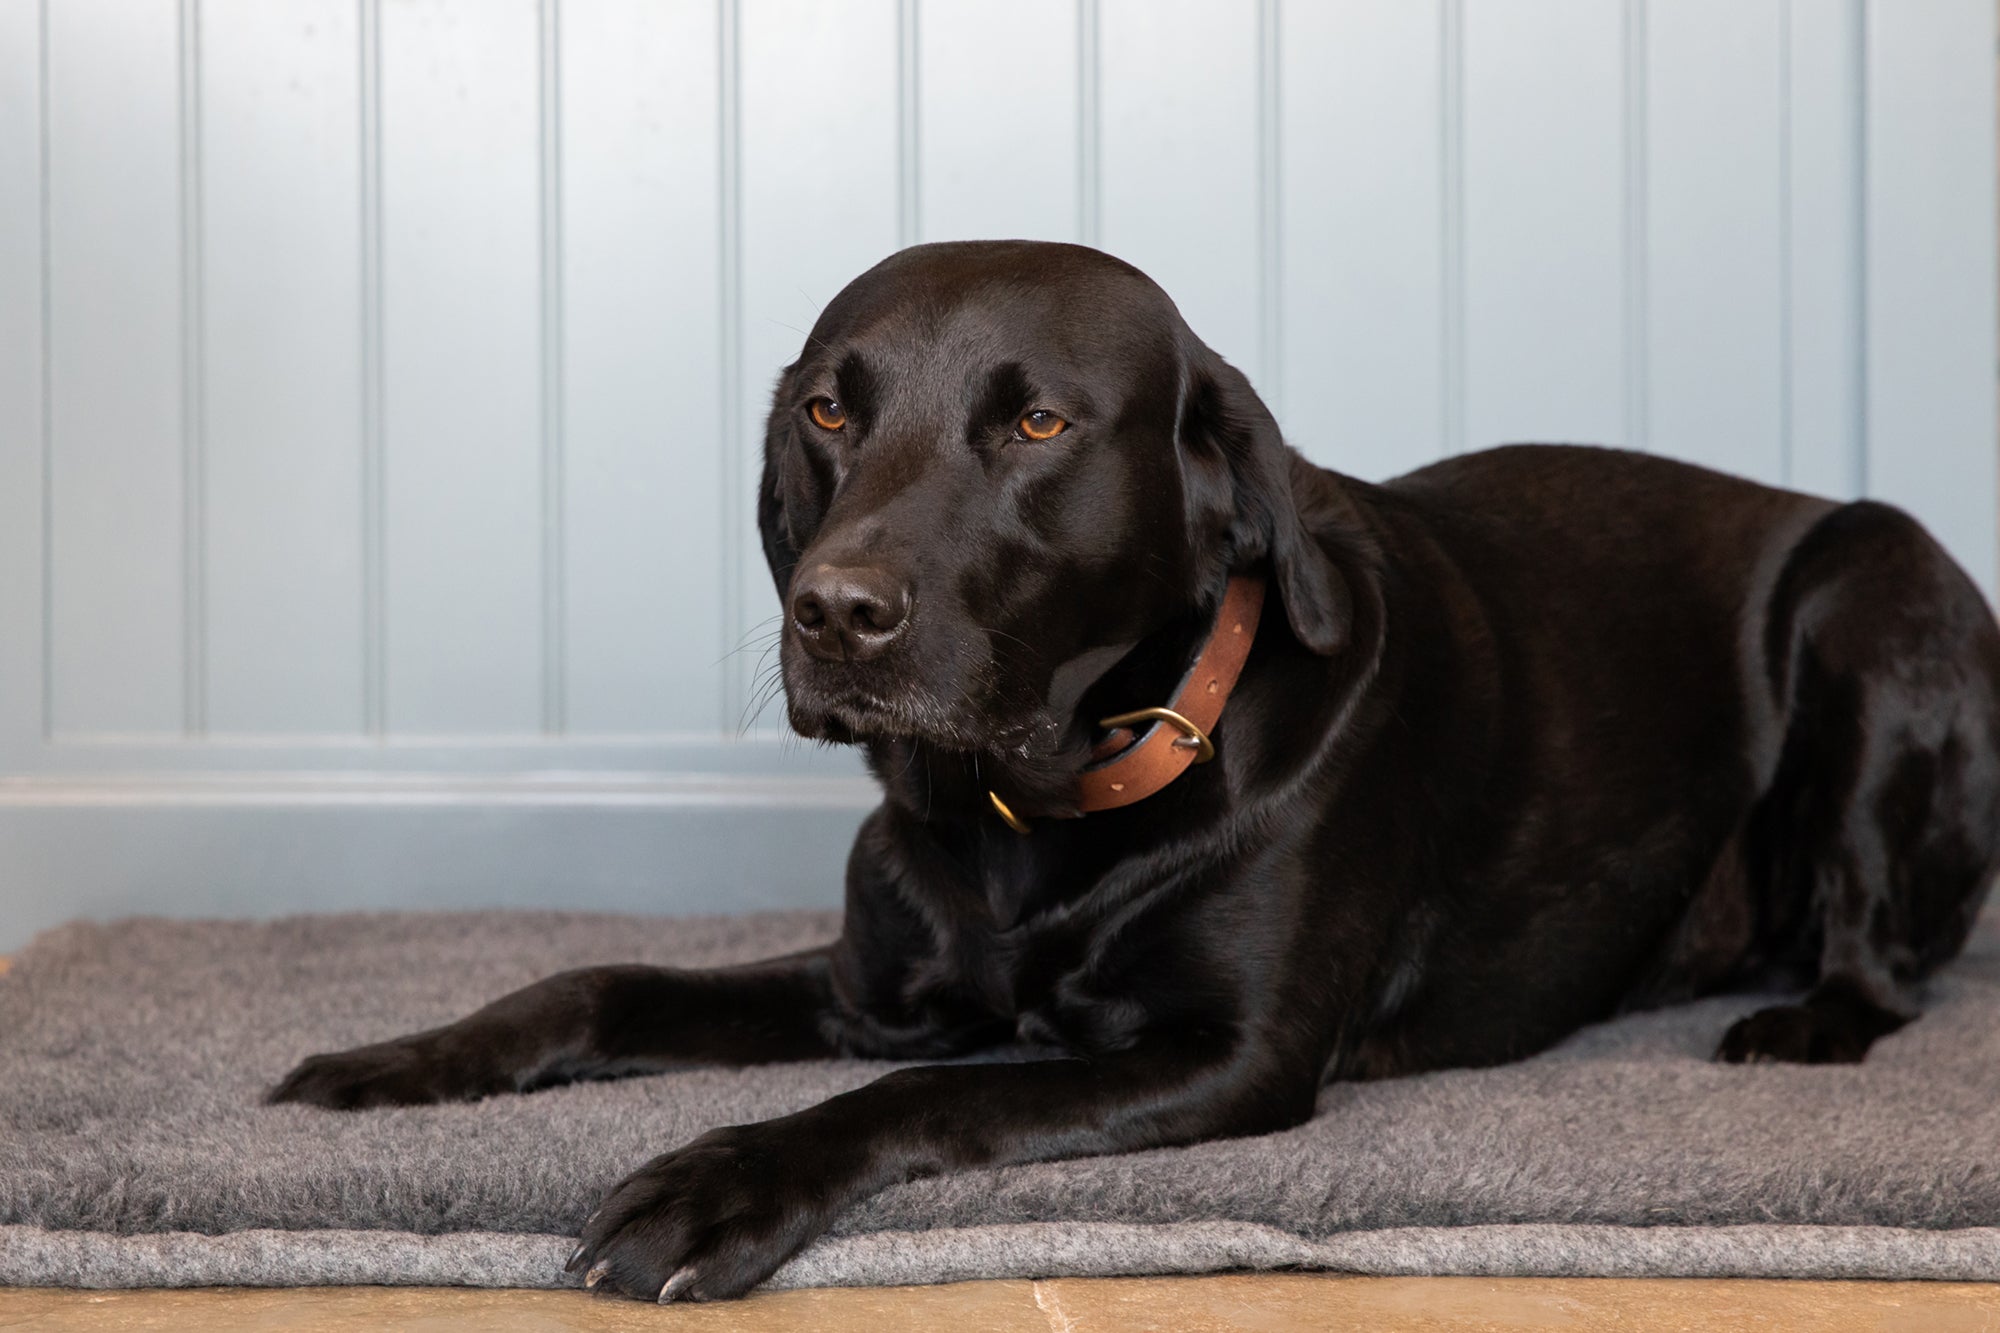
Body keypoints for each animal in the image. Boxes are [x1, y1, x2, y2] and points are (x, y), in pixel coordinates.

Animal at [270, 239, 2000, 1296]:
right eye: (829, 407)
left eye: (1036, 424)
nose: (833, 611)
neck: (1031, 812)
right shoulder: (872, 984)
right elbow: (595, 982)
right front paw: (399, 1057)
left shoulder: (1231, 1057)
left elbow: (916, 1091)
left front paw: (717, 1185)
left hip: (1876, 587)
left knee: (1887, 955)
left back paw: (1803, 1021)